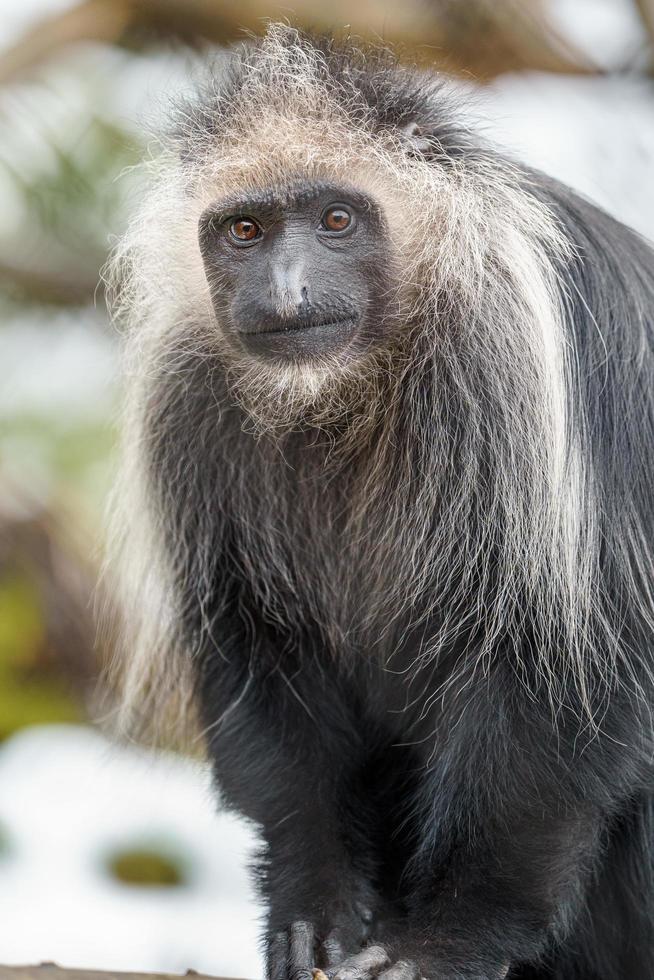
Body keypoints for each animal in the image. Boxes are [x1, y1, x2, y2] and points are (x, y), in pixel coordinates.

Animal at [107, 26, 654, 980]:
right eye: (245, 231)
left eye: (336, 220)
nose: (286, 291)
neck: (353, 383)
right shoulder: (189, 399)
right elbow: (264, 661)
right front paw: (312, 908)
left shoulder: (515, 361)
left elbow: (563, 686)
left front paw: (449, 940)